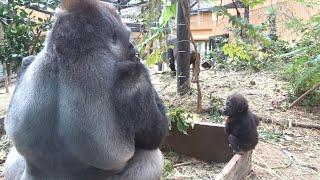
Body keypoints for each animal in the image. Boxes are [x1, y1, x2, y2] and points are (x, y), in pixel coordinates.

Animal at [3, 0, 169, 179]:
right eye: (127, 37)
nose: (133, 47)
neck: (68, 54)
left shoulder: (29, 61)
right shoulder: (133, 76)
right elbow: (156, 135)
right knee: (150, 155)